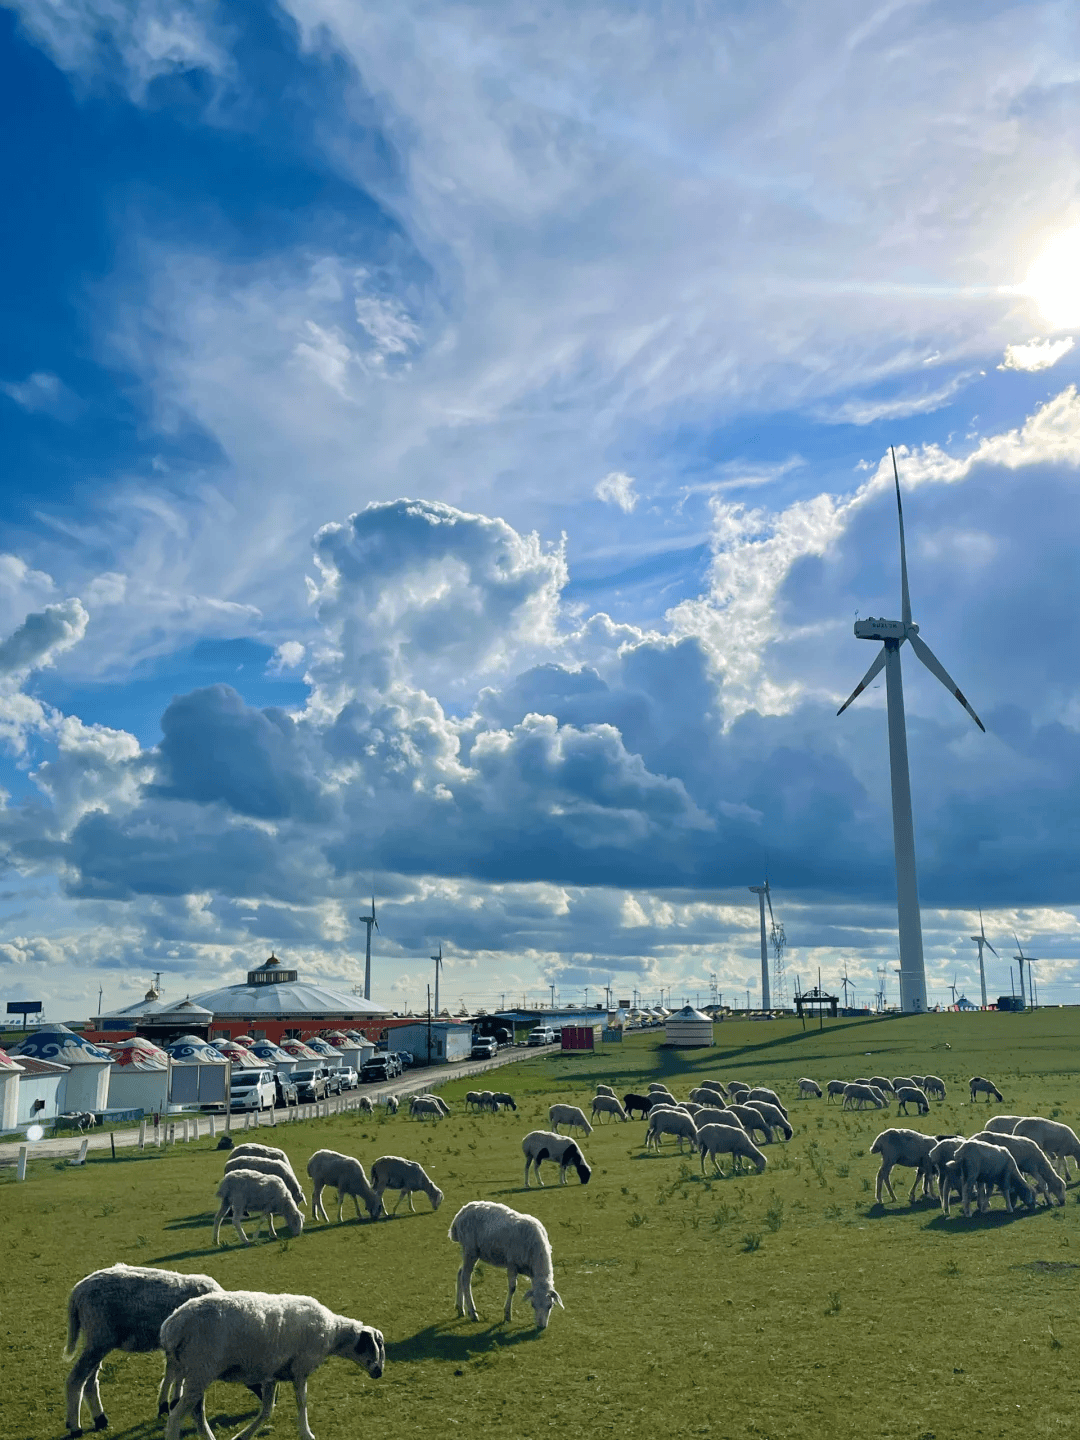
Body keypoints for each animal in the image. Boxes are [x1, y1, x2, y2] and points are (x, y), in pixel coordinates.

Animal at [64, 1267, 224, 1434]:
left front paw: (168, 1403)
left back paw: (100, 1419)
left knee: (89, 1382)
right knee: (76, 1379)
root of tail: (77, 1292)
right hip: (99, 1337)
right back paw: (75, 1426)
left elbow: (173, 1372)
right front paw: (169, 1403)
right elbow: (176, 1372)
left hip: (98, 1340)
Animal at [158, 1290, 383, 1440]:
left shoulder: (271, 1375)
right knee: (176, 1416)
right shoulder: (300, 1370)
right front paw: (307, 1433)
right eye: (375, 1345)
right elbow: (302, 1403)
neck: (333, 1332)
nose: (379, 1372)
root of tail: (172, 1325)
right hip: (200, 1370)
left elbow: (267, 1410)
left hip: (193, 1371)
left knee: (197, 1414)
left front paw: (242, 1436)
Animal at [449, 1198, 567, 1330]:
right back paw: (473, 1313)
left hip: (469, 1251)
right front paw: (507, 1315)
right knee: (465, 1278)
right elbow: (512, 1288)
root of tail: (460, 1214)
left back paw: (460, 1308)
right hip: (470, 1249)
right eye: (532, 1305)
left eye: (550, 1306)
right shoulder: (512, 1264)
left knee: (460, 1273)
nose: (541, 1326)